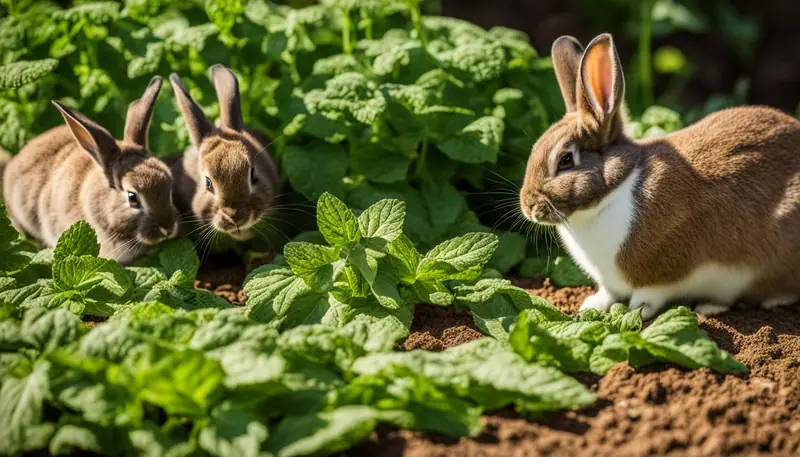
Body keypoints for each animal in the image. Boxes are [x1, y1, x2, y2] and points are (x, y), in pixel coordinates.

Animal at [520, 33, 800, 319]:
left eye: (565, 160)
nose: (528, 206)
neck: (614, 192)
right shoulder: (610, 283)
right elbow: (608, 294)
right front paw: (592, 305)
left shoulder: (665, 275)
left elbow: (651, 295)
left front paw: (637, 311)